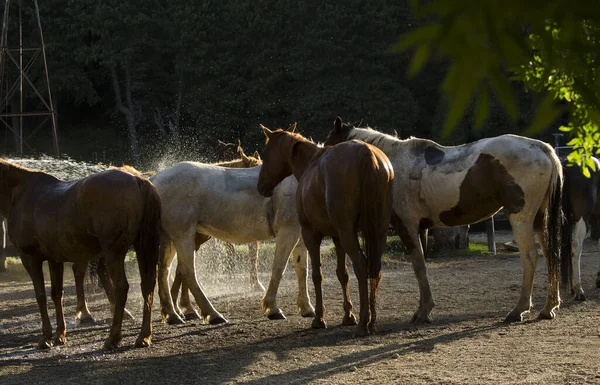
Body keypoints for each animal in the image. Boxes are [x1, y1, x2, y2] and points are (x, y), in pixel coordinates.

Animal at [0, 158, 161, 350]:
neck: (21, 193)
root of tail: (137, 179)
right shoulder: (55, 259)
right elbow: (56, 294)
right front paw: (60, 334)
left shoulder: (30, 259)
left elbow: (41, 296)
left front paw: (45, 337)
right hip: (142, 247)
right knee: (147, 286)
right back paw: (144, 336)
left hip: (114, 252)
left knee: (121, 287)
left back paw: (113, 337)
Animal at [152, 154, 316, 322]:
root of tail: (156, 179)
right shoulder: (288, 231)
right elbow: (279, 268)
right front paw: (273, 308)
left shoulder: (300, 237)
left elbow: (302, 270)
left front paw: (307, 308)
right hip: (182, 236)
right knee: (187, 271)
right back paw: (213, 314)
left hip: (170, 239)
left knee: (164, 270)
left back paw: (172, 314)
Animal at [256, 124, 394, 336]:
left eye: (265, 153)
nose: (260, 186)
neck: (310, 164)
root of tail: (366, 153)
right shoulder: (337, 238)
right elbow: (342, 274)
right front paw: (348, 315)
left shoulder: (311, 235)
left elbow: (316, 275)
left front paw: (319, 318)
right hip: (377, 232)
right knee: (374, 268)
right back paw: (372, 320)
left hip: (348, 234)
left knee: (361, 265)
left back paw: (364, 322)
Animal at [324, 118, 568, 322]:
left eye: (329, 146)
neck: (391, 165)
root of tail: (542, 148)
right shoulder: (419, 229)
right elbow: (420, 266)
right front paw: (423, 308)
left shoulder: (407, 227)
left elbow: (419, 266)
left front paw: (424, 312)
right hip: (539, 220)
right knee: (550, 255)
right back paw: (548, 308)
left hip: (521, 219)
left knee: (530, 258)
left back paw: (519, 310)